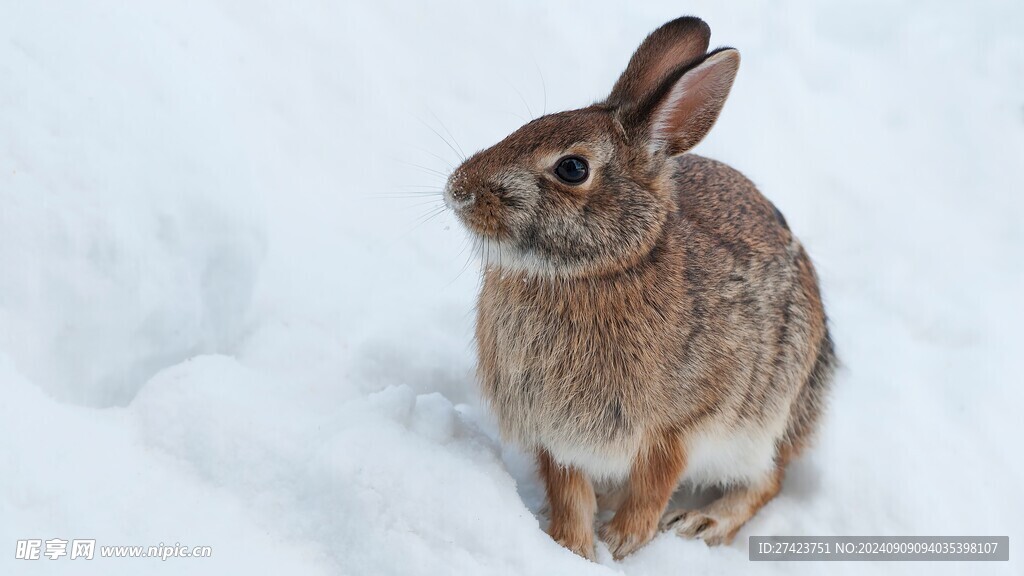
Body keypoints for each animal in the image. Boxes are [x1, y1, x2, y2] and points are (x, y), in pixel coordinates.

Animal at [440, 15, 831, 557]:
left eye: (572, 168)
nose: (458, 190)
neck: (598, 271)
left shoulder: (681, 424)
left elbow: (655, 480)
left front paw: (623, 541)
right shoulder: (554, 434)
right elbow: (567, 489)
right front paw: (572, 546)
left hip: (765, 419)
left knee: (768, 479)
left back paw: (704, 522)